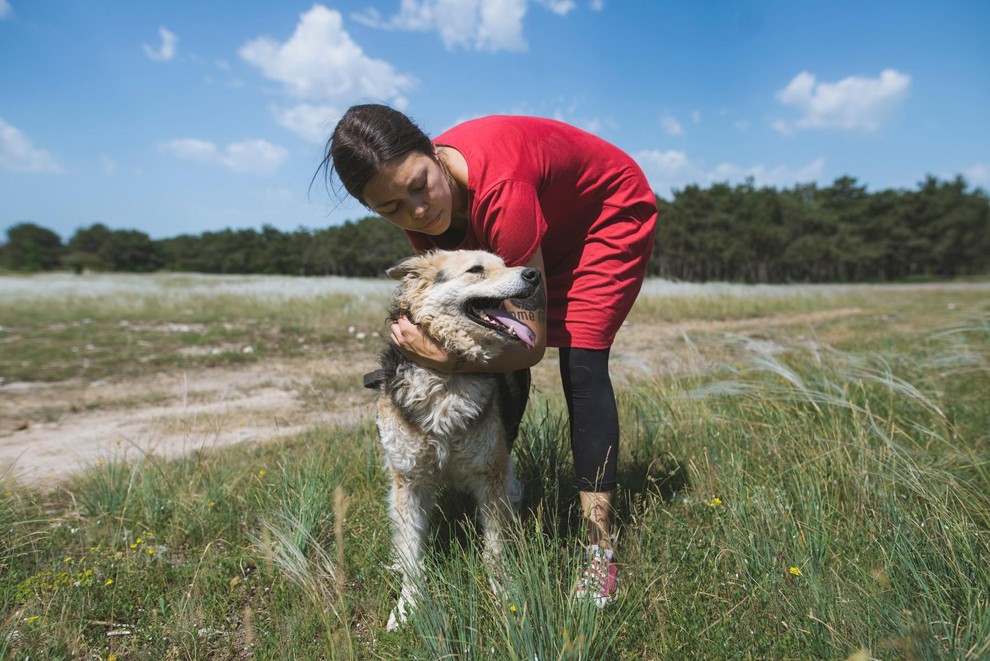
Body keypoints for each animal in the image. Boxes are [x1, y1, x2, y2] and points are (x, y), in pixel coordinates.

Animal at [368, 249, 544, 628]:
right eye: (476, 270)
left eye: (504, 263)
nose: (534, 274)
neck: (446, 377)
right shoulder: (408, 481)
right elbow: (410, 553)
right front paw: (407, 607)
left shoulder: (491, 475)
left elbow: (495, 549)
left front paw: (506, 595)